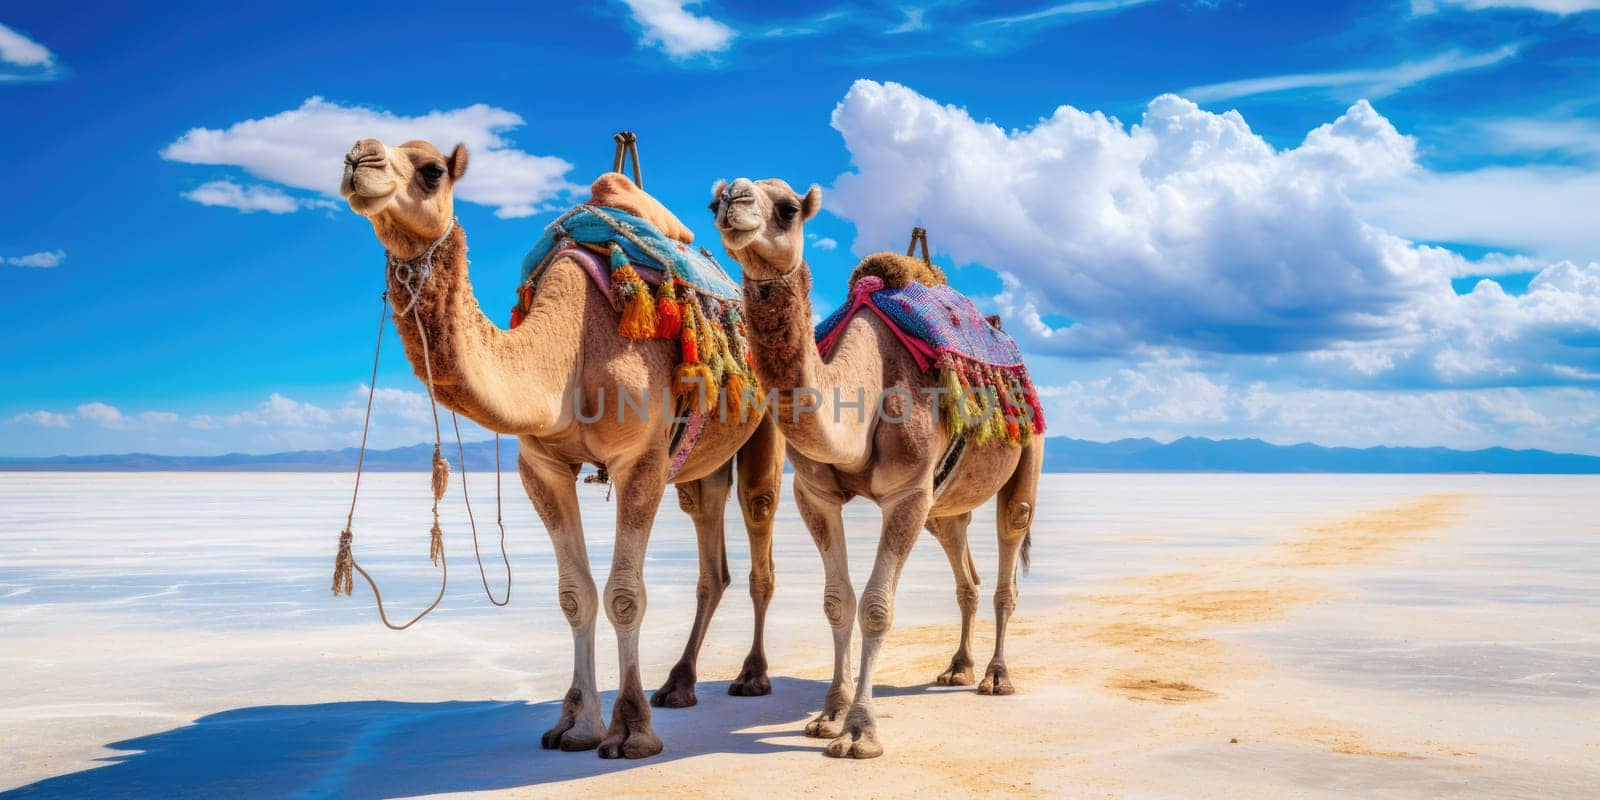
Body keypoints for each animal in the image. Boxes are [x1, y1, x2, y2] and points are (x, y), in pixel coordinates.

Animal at [340, 140, 784, 758]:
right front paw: (576, 724)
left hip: (766, 427)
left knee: (759, 528)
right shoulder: (542, 466)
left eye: (431, 170)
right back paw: (679, 684)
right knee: (709, 552)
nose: (360, 159)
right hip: (700, 460)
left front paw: (631, 730)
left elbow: (625, 594)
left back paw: (752, 676)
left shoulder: (639, 461)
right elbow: (576, 595)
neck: (565, 349)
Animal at [710, 178, 1036, 758]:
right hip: (943, 505)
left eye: (788, 208)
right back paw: (958, 667)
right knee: (965, 567)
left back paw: (996, 677)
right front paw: (829, 715)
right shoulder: (815, 494)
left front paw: (861, 731)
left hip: (1027, 457)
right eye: (715, 200)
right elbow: (838, 602)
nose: (734, 201)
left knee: (1008, 554)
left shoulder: (906, 491)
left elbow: (877, 606)